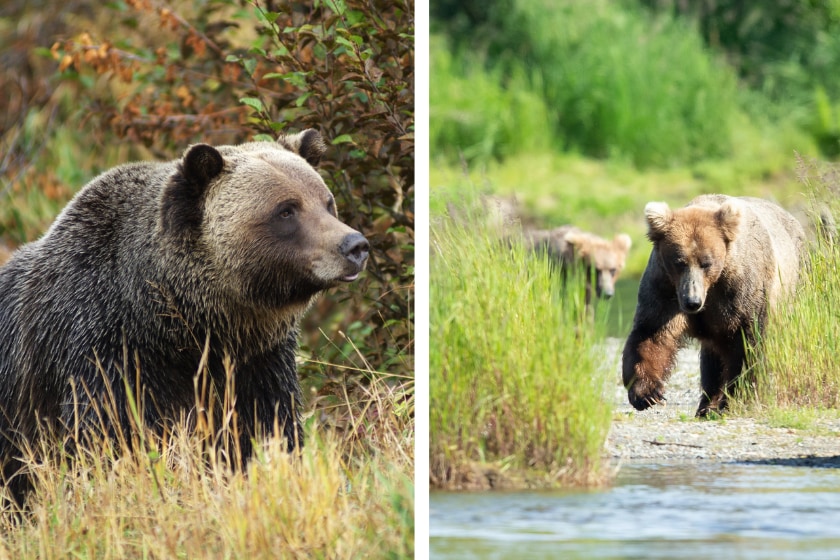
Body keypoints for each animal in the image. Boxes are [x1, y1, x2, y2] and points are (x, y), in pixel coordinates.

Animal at [0, 130, 370, 504]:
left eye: (326, 201)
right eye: (286, 209)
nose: (354, 245)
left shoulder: (257, 365)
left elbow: (265, 432)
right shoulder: (100, 354)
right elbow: (111, 441)